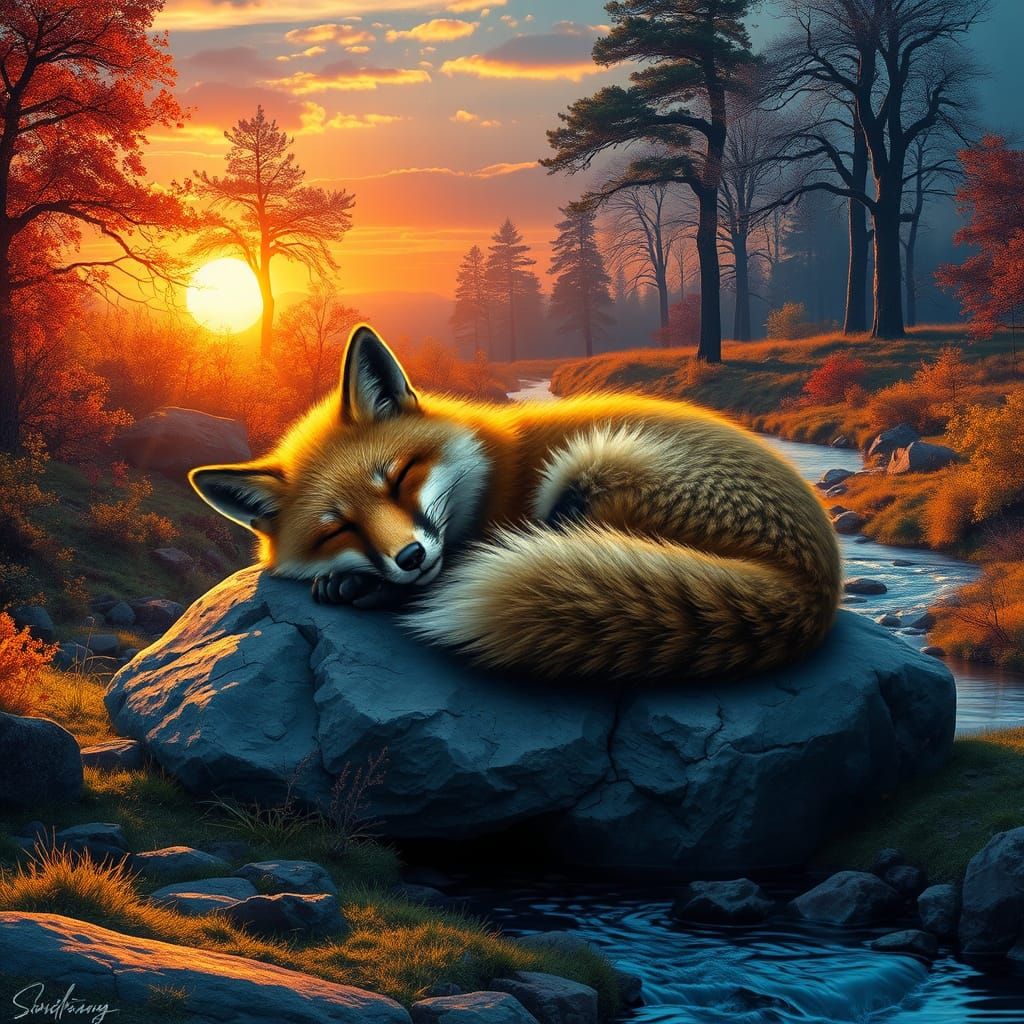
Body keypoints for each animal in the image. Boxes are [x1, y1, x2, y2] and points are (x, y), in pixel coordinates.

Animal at [189, 325, 842, 682]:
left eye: (400, 479)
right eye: (338, 529)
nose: (408, 557)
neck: (493, 465)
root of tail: (819, 586)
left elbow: (451, 568)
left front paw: (363, 587)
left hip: (595, 464)